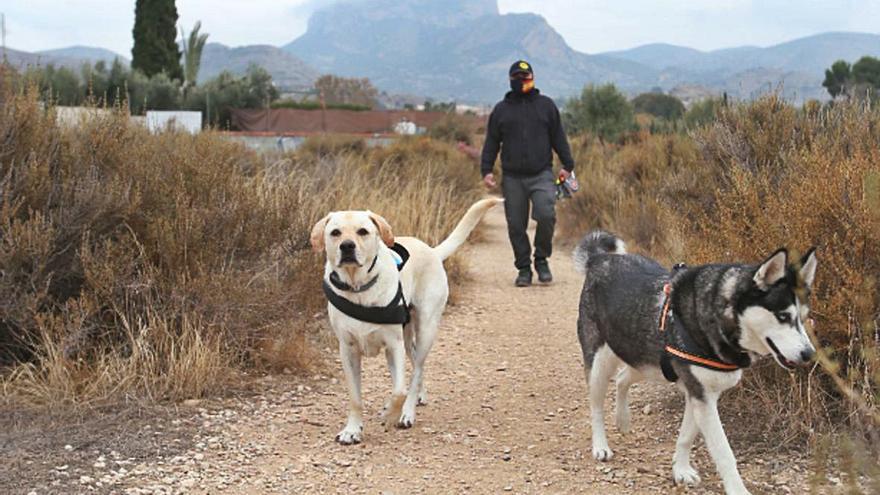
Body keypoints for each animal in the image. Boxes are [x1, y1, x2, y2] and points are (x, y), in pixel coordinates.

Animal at [312, 198, 502, 446]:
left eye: (363, 231)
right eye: (335, 232)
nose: (347, 246)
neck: (359, 288)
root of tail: (431, 251)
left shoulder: (394, 346)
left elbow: (399, 391)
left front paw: (391, 415)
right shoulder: (348, 350)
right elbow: (355, 397)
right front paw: (352, 430)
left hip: (425, 331)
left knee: (416, 372)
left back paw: (406, 413)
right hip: (407, 338)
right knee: (411, 372)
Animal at [576, 232, 816, 495]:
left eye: (804, 318)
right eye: (783, 316)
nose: (809, 354)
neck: (717, 316)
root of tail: (600, 259)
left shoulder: (701, 395)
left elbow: (686, 437)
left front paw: (680, 470)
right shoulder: (701, 396)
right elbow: (723, 452)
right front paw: (737, 489)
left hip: (645, 361)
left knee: (622, 379)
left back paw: (623, 419)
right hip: (600, 364)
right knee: (596, 408)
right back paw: (601, 445)